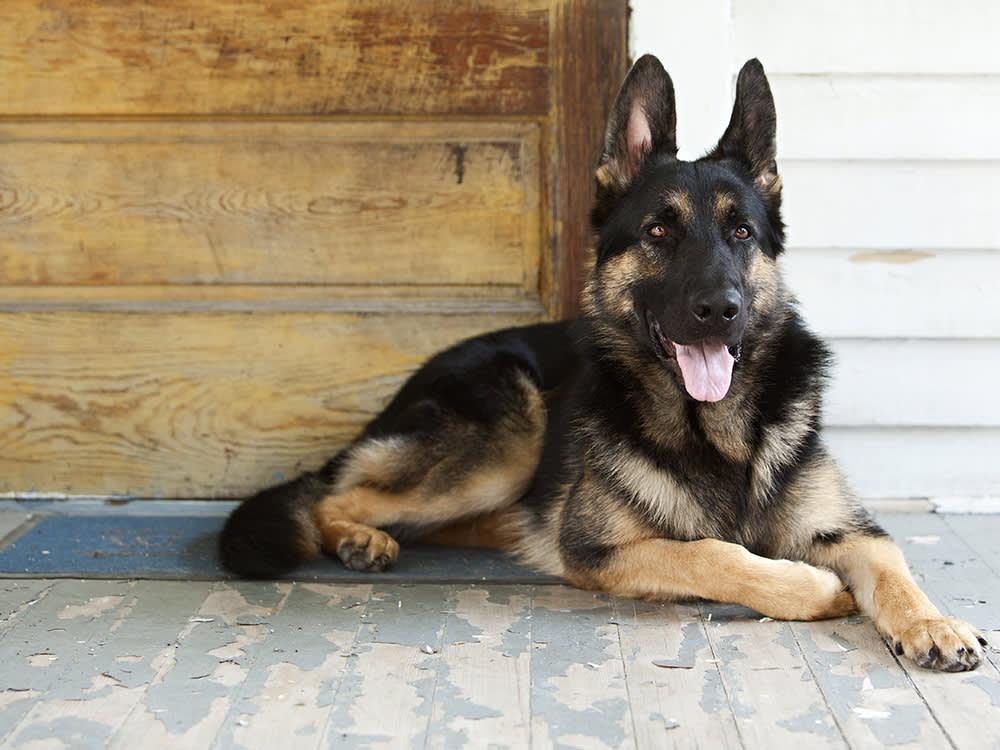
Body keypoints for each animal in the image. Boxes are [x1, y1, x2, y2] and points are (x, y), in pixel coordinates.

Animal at [221, 55, 984, 672]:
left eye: (742, 232)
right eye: (659, 231)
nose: (721, 308)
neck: (718, 436)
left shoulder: (851, 531)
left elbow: (894, 566)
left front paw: (935, 622)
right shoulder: (603, 551)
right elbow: (712, 553)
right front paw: (812, 587)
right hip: (507, 436)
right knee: (331, 496)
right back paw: (362, 537)